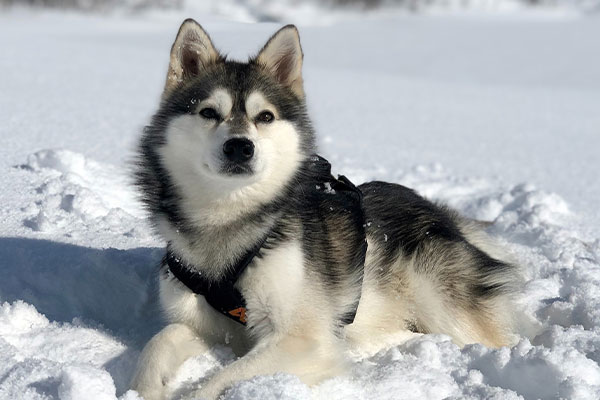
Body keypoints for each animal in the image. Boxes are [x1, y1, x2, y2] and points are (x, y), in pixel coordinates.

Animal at [131, 19, 520, 400]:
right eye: (209, 112)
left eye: (265, 117)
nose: (240, 147)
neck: (229, 219)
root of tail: (439, 212)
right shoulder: (209, 326)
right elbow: (158, 344)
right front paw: (146, 389)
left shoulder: (303, 340)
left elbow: (217, 382)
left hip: (440, 302)